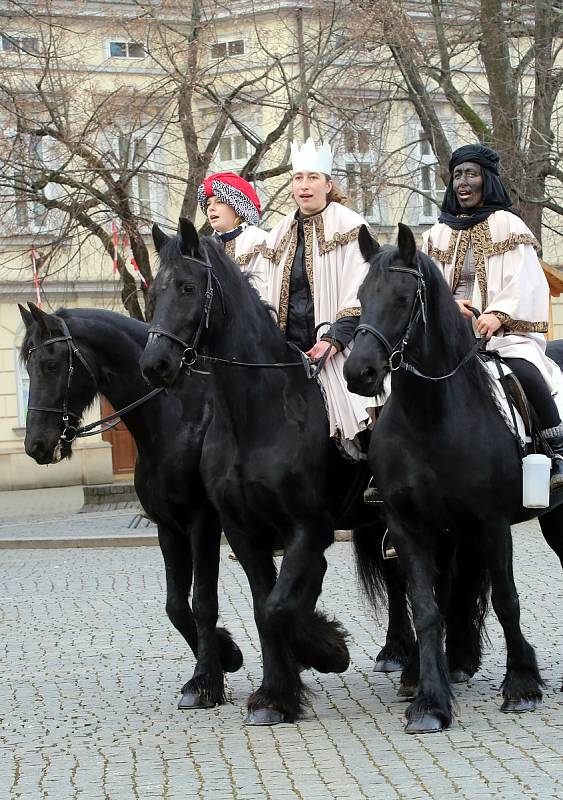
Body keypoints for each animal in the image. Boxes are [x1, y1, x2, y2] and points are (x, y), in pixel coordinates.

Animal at [19, 304, 243, 708]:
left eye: (51, 364)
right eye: (27, 367)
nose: (36, 445)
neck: (177, 419)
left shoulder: (202, 522)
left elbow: (203, 602)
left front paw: (207, 681)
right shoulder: (168, 526)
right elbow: (176, 606)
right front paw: (225, 654)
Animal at [140, 219, 494, 724]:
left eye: (188, 287)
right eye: (154, 293)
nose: (155, 364)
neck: (258, 415)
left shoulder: (308, 528)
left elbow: (278, 606)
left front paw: (323, 651)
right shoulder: (243, 531)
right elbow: (264, 607)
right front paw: (277, 691)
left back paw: (436, 670)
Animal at [344, 222, 563, 736]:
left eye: (403, 298)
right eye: (362, 295)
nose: (359, 372)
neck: (432, 417)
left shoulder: (491, 524)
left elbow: (506, 599)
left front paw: (521, 685)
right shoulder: (411, 526)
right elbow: (427, 607)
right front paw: (429, 698)